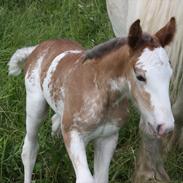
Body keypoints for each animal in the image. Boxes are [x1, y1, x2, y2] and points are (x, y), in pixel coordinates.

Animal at [7, 19, 175, 183]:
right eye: (140, 76)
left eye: (170, 74)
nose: (166, 127)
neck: (101, 92)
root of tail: (37, 47)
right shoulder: (73, 133)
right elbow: (85, 179)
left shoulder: (108, 137)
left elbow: (101, 178)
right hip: (35, 104)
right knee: (29, 149)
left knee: (55, 120)